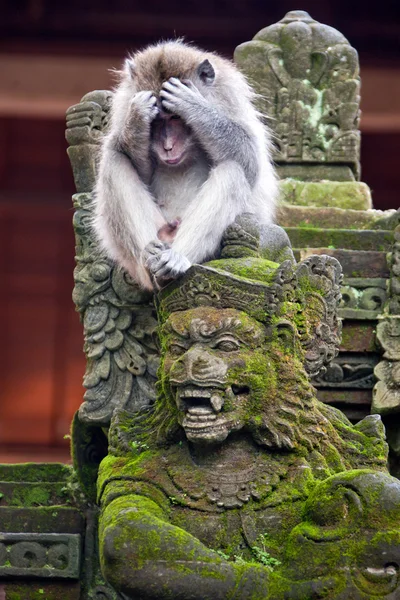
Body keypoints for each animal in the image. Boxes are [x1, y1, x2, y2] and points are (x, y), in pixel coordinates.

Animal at [93, 39, 278, 288]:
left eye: (176, 118)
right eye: (155, 122)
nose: (168, 146)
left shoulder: (228, 98)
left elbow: (249, 160)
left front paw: (192, 105)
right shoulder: (124, 104)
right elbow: (138, 169)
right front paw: (137, 117)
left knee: (232, 170)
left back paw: (176, 259)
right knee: (114, 160)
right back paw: (149, 257)